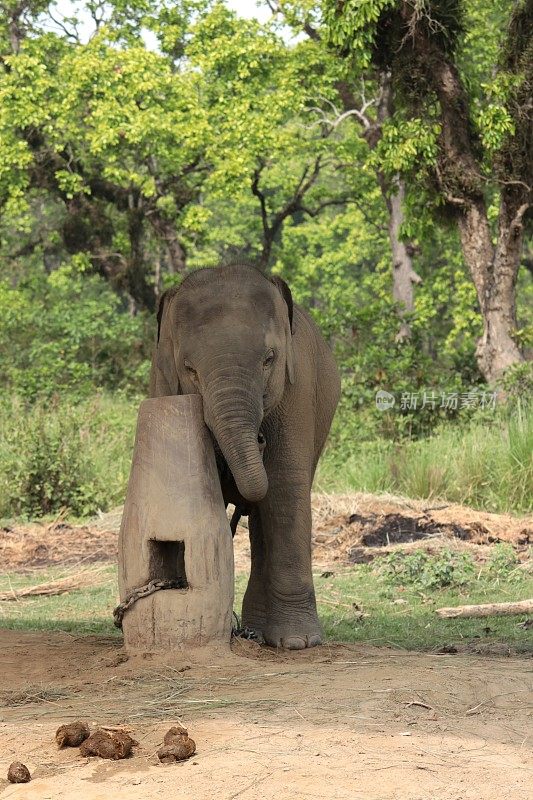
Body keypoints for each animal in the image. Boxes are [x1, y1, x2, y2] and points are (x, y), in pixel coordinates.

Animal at [149, 264, 340, 648]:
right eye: (189, 369)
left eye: (269, 359)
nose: (261, 438)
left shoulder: (297, 394)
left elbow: (284, 487)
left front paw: (299, 643)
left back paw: (262, 634)